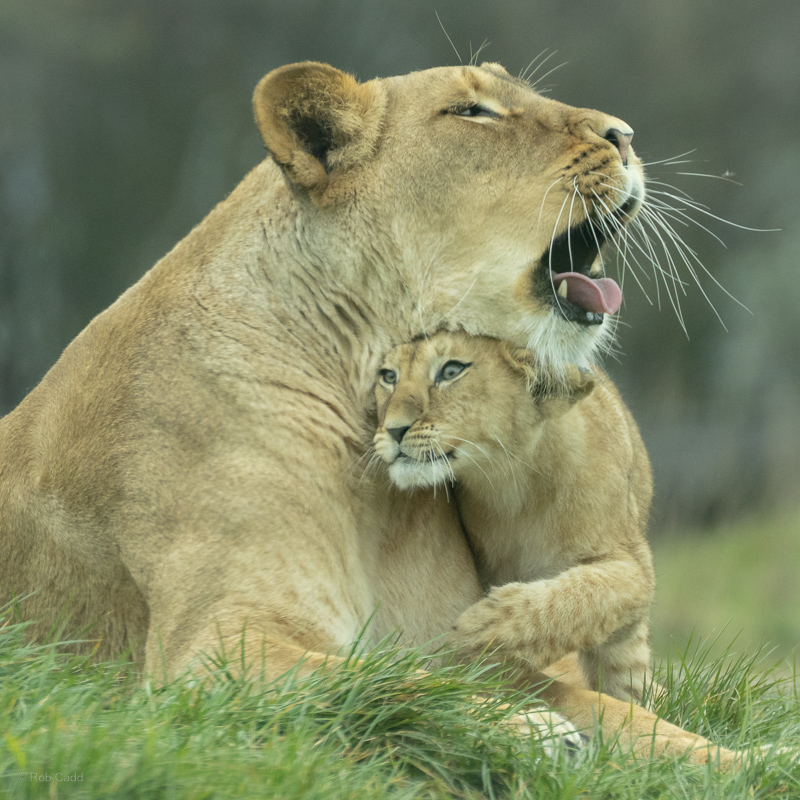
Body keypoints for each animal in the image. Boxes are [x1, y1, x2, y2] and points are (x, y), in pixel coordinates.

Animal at [373, 330, 655, 705]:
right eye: (388, 377)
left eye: (451, 371)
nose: (393, 430)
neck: (513, 482)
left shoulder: (636, 567)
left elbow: (580, 596)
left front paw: (482, 635)